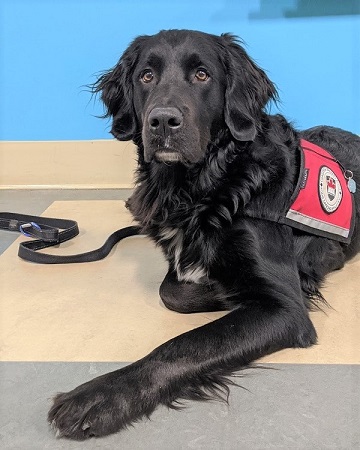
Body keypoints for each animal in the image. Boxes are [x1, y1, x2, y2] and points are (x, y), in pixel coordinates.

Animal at [48, 29, 360, 440]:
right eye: (146, 76)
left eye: (202, 75)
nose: (163, 121)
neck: (204, 187)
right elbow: (171, 291)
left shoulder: (284, 307)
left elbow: (184, 344)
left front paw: (101, 395)